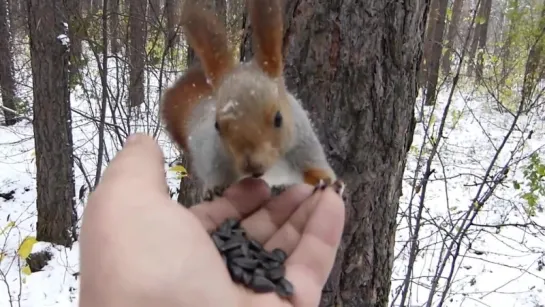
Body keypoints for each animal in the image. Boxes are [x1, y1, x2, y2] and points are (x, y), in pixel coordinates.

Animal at [159, 0, 342, 202]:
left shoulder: (304, 144)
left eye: (278, 118)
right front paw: (214, 189)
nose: (253, 167)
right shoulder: (214, 155)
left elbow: (313, 169)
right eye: (217, 126)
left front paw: (328, 182)